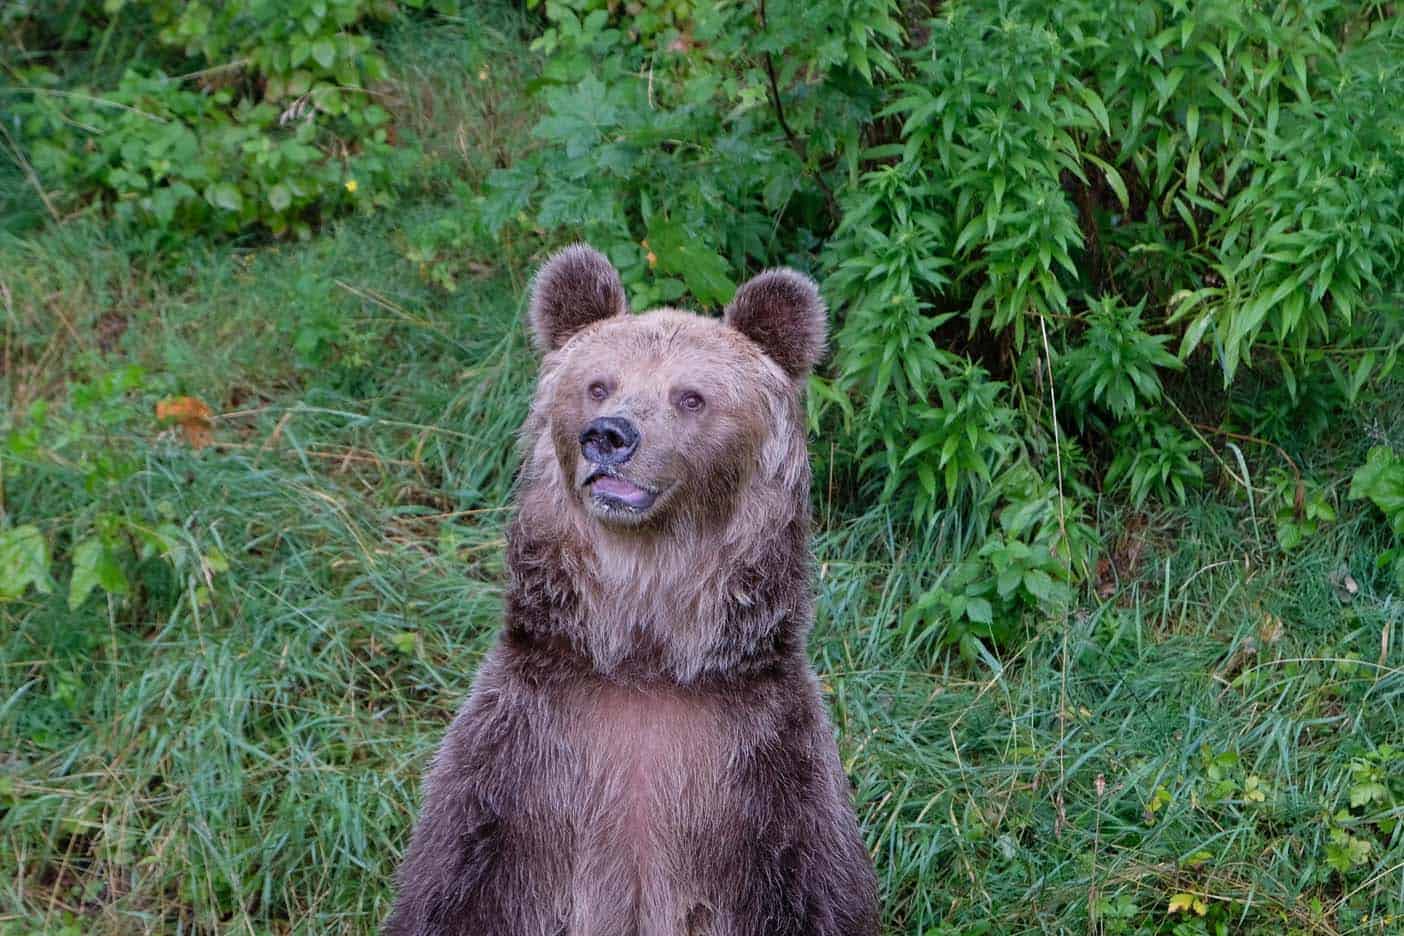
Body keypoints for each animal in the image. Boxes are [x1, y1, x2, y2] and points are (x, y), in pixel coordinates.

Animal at [384, 245, 876, 931]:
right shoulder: (515, 768)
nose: (609, 435)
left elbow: (817, 897)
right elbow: (454, 894)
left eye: (691, 397)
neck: (645, 653)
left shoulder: (768, 780)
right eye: (598, 384)